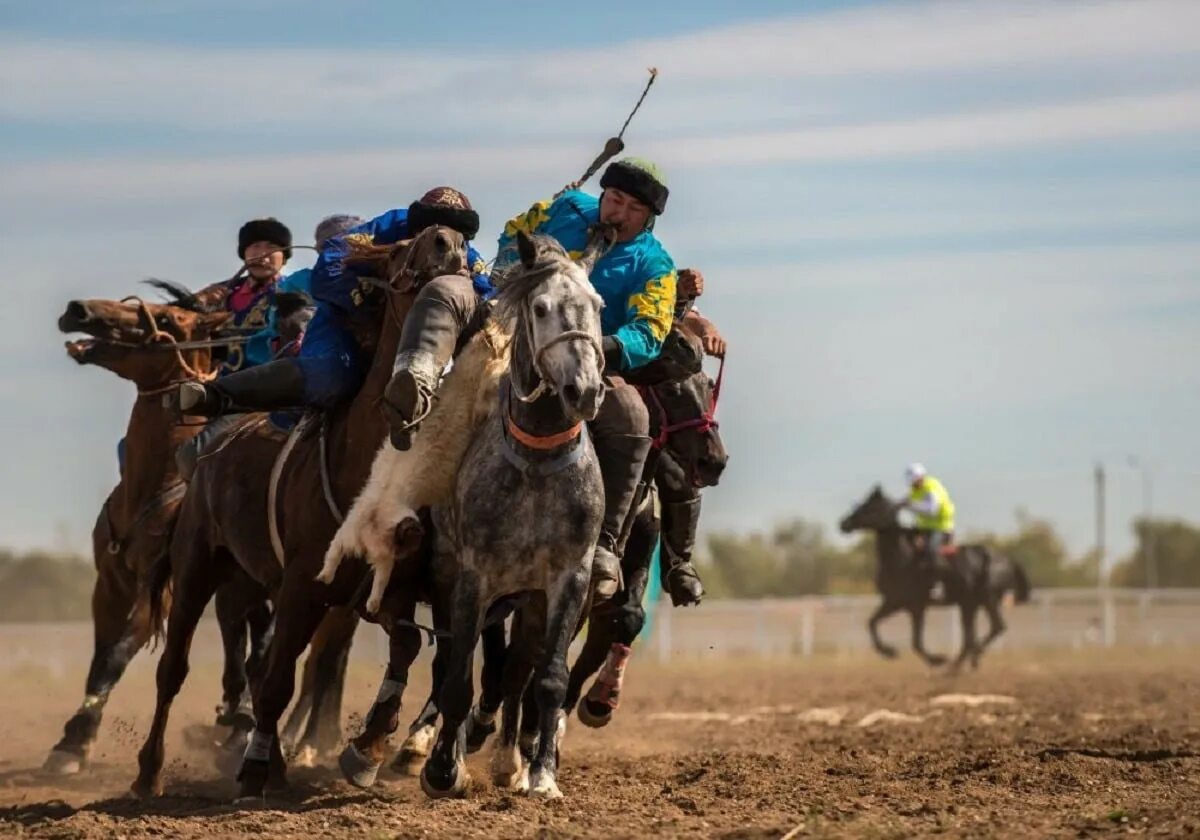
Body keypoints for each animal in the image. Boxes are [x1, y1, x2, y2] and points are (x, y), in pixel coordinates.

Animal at [844, 484, 1032, 667]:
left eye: (870, 507)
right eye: (861, 504)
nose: (843, 523)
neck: (902, 556)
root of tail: (1008, 561)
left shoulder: (916, 606)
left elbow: (916, 642)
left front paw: (937, 660)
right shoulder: (893, 601)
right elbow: (872, 622)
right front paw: (889, 651)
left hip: (987, 598)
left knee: (995, 628)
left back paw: (971, 656)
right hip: (970, 604)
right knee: (971, 636)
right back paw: (960, 665)